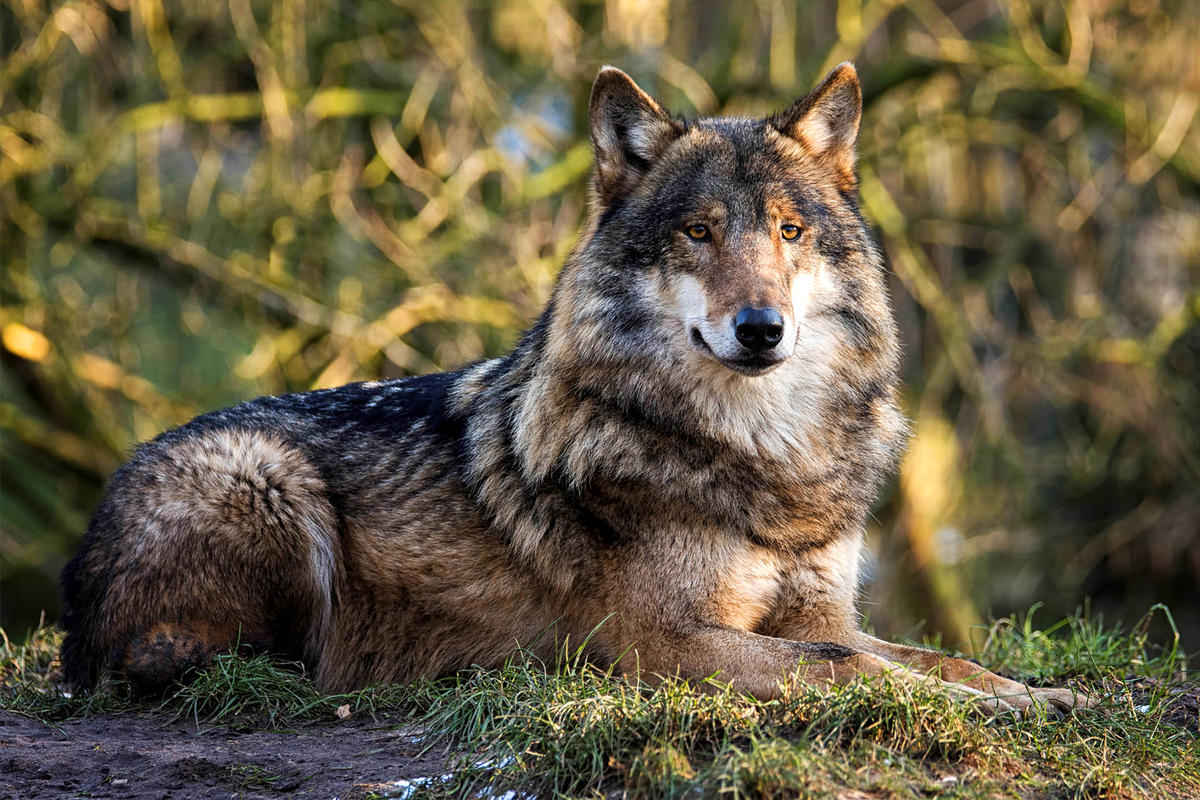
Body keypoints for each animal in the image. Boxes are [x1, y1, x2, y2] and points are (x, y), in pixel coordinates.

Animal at [60, 62, 1099, 714]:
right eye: (698, 233)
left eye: (789, 231)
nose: (761, 328)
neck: (764, 458)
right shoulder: (664, 643)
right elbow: (849, 665)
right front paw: (977, 707)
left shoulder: (819, 609)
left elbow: (925, 651)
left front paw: (1042, 693)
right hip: (266, 478)